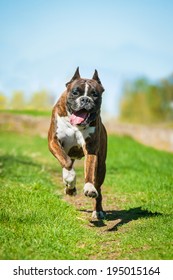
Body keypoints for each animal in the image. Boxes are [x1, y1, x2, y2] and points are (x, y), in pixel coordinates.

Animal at [47, 68, 107, 219]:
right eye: (75, 92)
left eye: (94, 94)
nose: (85, 99)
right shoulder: (53, 141)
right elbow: (66, 162)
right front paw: (70, 181)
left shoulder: (91, 149)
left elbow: (89, 170)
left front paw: (89, 187)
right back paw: (69, 187)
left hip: (102, 166)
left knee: (98, 187)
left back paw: (98, 210)